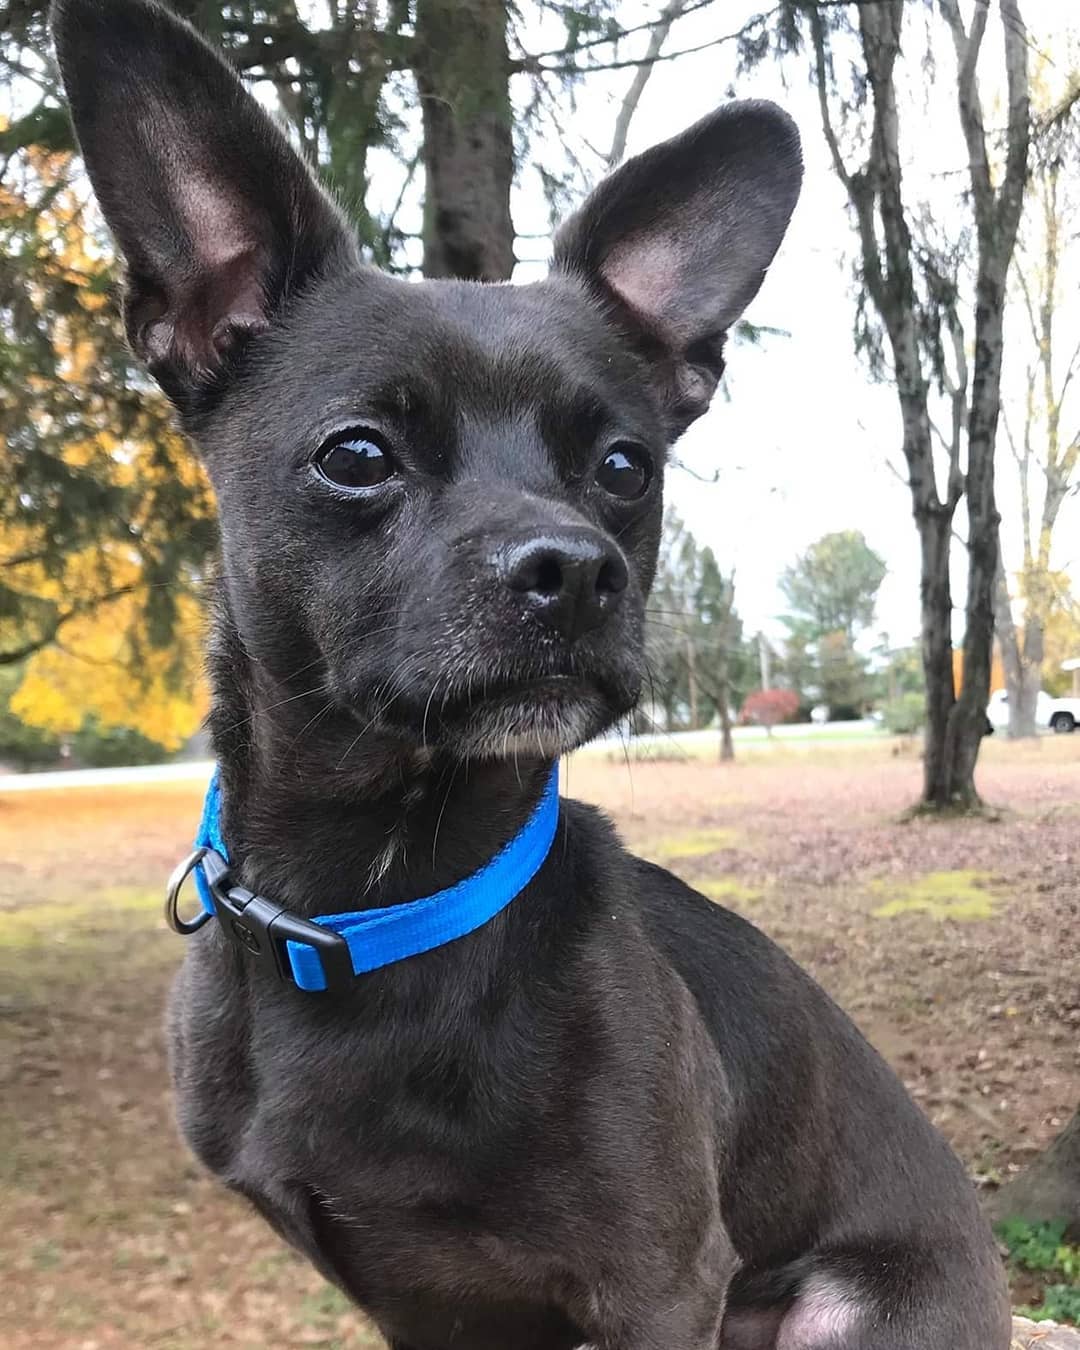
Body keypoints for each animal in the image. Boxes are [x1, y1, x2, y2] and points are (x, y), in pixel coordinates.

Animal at [52, 2, 1015, 1350]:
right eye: (357, 454)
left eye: (624, 465)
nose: (575, 570)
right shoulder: (421, 1306)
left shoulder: (661, 1280)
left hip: (844, 1309)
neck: (380, 903)